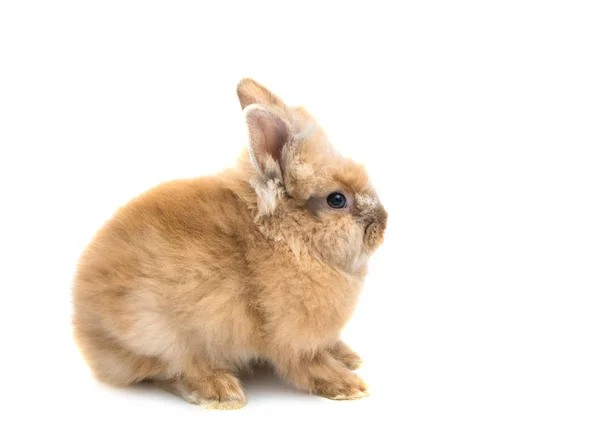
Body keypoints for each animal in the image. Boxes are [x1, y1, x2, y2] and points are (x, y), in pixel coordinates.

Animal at [71, 79, 390, 410]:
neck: (289, 240)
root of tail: (86, 328)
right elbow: (307, 364)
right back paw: (222, 391)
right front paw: (349, 386)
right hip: (159, 333)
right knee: (173, 369)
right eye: (337, 199)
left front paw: (350, 358)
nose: (384, 223)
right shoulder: (293, 337)